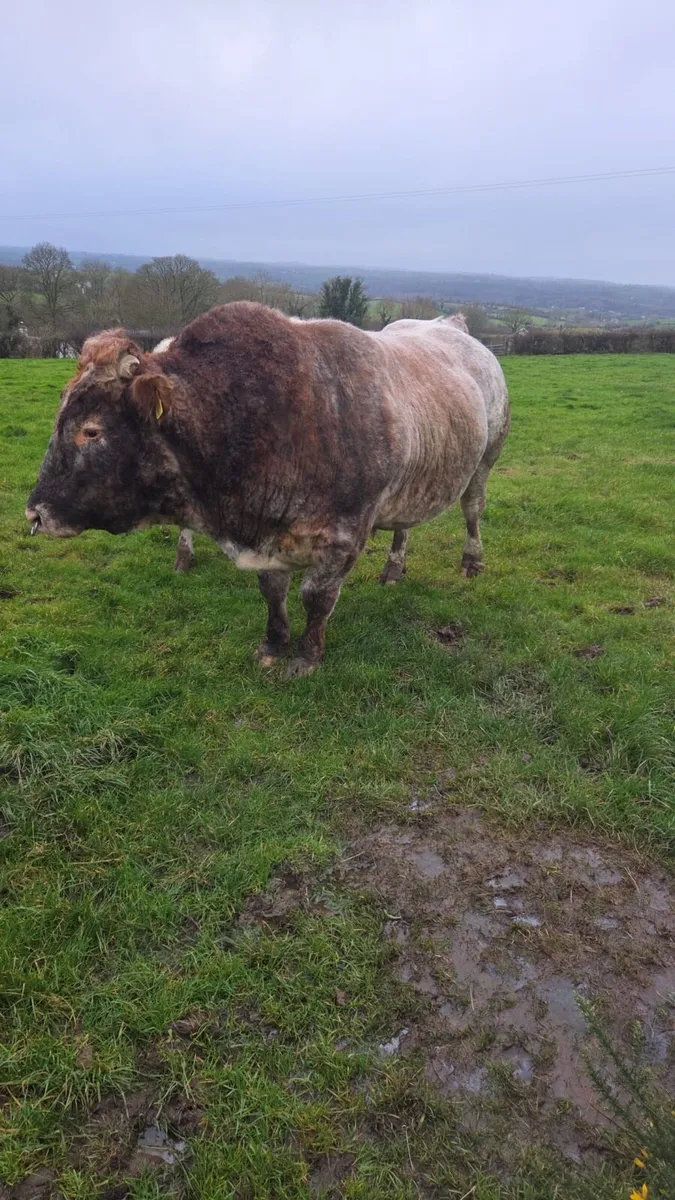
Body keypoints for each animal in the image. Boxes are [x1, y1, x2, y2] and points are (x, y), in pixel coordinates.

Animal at [26, 303, 510, 678]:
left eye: (91, 431)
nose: (35, 514)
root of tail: (450, 324)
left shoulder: (345, 535)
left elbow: (316, 597)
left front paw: (308, 655)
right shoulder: (267, 535)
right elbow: (272, 593)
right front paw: (274, 644)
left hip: (487, 458)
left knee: (473, 508)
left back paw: (472, 560)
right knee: (404, 523)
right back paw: (394, 567)